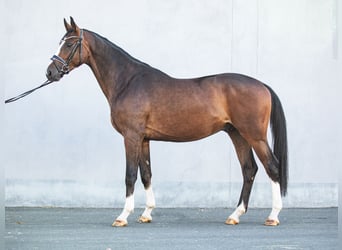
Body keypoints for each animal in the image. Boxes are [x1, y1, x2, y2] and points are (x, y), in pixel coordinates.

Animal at [44, 17, 286, 228]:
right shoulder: (143, 139)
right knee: (249, 169)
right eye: (60, 42)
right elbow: (146, 174)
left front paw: (122, 216)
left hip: (254, 135)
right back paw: (235, 215)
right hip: (237, 134)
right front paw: (146, 213)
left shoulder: (131, 137)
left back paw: (273, 216)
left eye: (69, 44)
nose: (50, 72)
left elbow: (130, 175)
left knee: (272, 167)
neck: (128, 81)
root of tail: (262, 85)